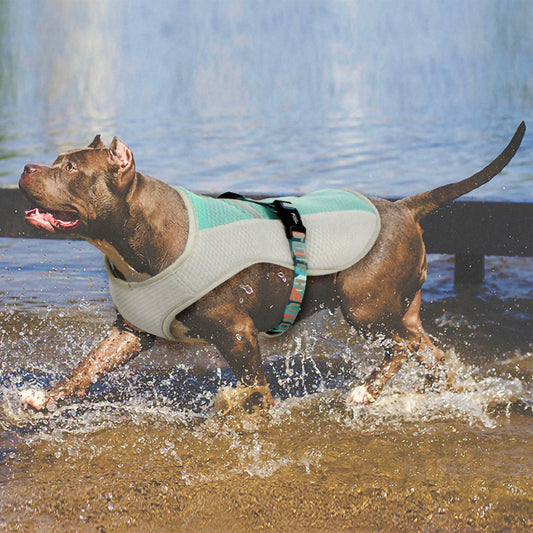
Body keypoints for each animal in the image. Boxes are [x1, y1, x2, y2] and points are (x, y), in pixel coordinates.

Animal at [19, 123, 524, 412]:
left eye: (69, 168)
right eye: (56, 161)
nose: (25, 167)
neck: (142, 234)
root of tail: (403, 208)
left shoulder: (237, 333)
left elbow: (254, 387)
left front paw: (247, 411)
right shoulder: (131, 331)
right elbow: (88, 365)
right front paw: (46, 396)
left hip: (364, 307)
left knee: (399, 347)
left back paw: (364, 392)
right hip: (399, 309)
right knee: (427, 349)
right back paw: (441, 389)